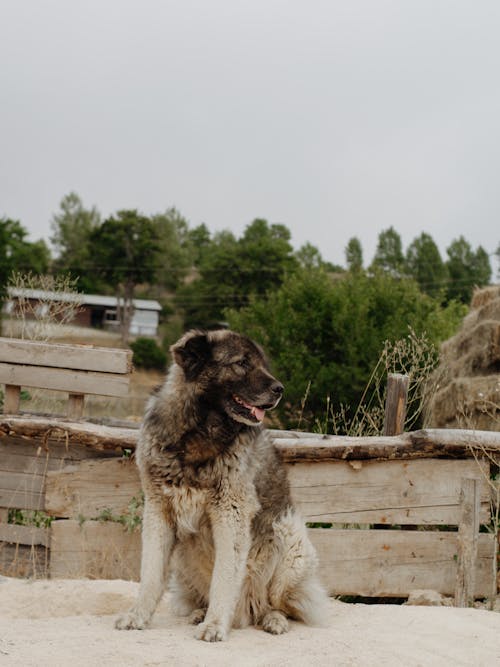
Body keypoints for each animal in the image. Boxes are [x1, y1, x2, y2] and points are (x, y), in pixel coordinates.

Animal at [115, 328, 330, 640]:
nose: (280, 389)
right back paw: (199, 613)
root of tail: (246, 613)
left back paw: (272, 619)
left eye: (263, 364)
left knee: (278, 604)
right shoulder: (158, 510)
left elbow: (224, 577)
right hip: (183, 558)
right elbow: (150, 574)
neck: (199, 432)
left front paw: (215, 624)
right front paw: (138, 615)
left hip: (289, 535)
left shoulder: (231, 513)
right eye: (242, 362)